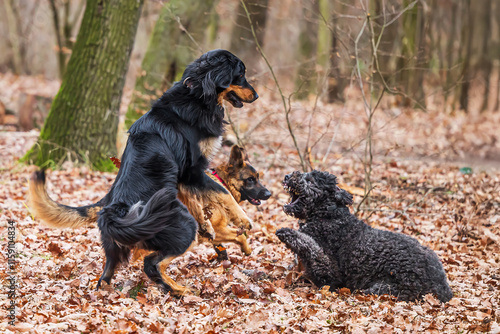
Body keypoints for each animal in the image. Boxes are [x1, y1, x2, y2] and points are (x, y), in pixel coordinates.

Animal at [29, 49, 260, 294]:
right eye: (240, 74)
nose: (256, 96)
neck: (197, 94)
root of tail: (112, 213)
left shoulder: (183, 177)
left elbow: (197, 201)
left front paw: (208, 227)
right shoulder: (192, 170)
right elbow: (221, 192)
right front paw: (243, 220)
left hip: (115, 252)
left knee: (107, 276)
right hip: (182, 228)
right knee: (152, 263)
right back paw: (180, 290)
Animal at [278, 171, 454, 302]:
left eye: (310, 180)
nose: (287, 176)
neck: (327, 216)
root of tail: (443, 286)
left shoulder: (331, 273)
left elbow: (311, 247)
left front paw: (287, 233)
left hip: (388, 287)